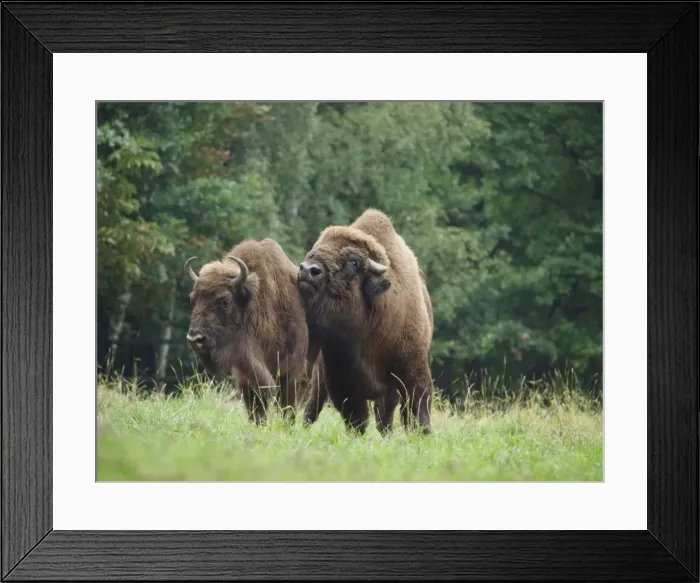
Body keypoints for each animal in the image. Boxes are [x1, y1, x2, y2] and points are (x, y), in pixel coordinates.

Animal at [184, 238, 310, 425]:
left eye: (225, 301)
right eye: (193, 299)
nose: (195, 339)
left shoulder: (292, 371)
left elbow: (287, 407)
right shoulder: (246, 375)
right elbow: (256, 409)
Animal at [296, 208, 434, 436]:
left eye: (353, 263)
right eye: (313, 251)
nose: (307, 270)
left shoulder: (412, 368)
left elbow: (418, 407)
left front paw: (423, 434)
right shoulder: (340, 377)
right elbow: (356, 417)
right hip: (319, 376)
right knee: (313, 405)